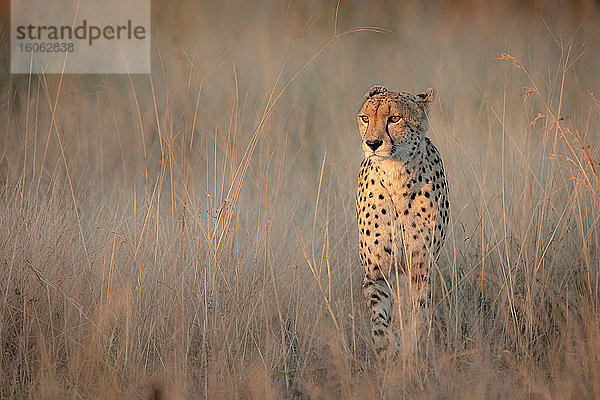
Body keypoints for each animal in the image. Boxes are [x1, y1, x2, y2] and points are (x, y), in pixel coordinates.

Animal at [354, 85, 448, 362]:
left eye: (394, 118)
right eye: (365, 118)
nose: (373, 144)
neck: (396, 176)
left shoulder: (421, 269)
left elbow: (418, 316)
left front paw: (412, 351)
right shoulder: (377, 273)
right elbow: (378, 321)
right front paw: (388, 351)